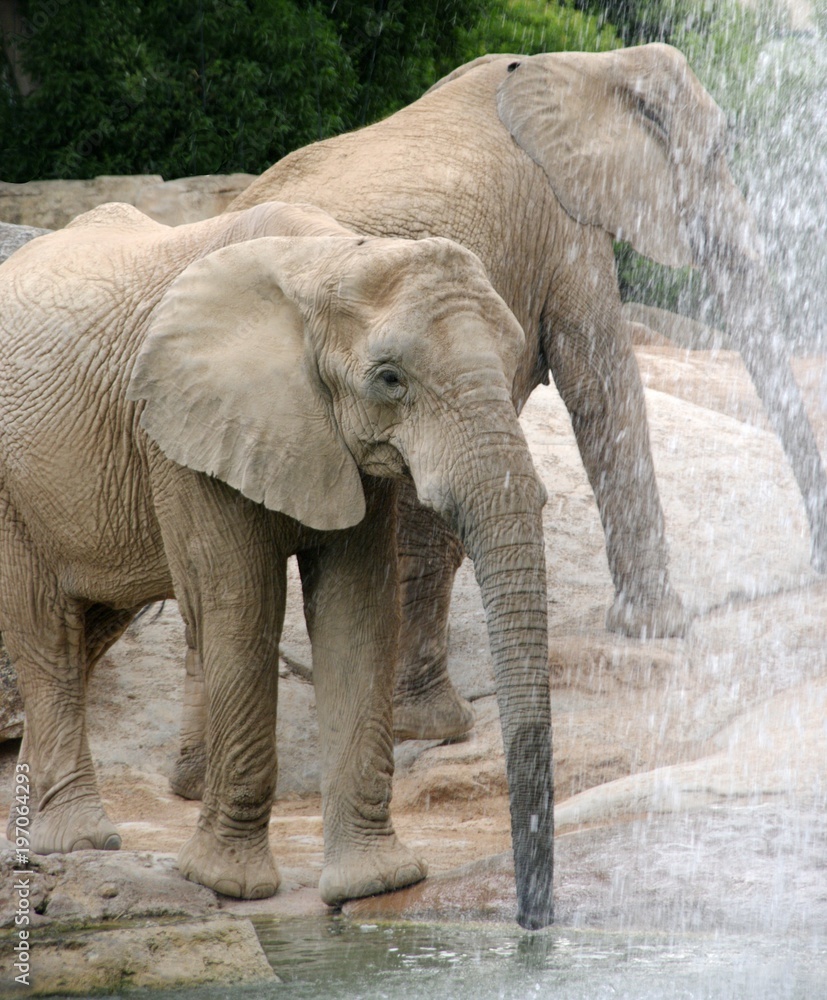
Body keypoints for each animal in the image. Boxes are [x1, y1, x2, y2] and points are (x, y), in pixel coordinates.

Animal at [0, 199, 554, 929]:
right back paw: (81, 841)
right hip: (13, 489)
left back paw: (30, 831)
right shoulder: (180, 432)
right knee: (47, 630)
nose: (533, 922)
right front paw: (226, 885)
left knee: (92, 629)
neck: (327, 258)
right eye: (389, 379)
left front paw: (375, 884)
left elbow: (356, 611)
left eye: (517, 358)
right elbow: (240, 605)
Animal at [222, 42, 827, 744]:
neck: (587, 63)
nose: (818, 563)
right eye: (718, 154)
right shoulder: (566, 227)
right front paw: (658, 628)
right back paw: (433, 725)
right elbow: (602, 389)